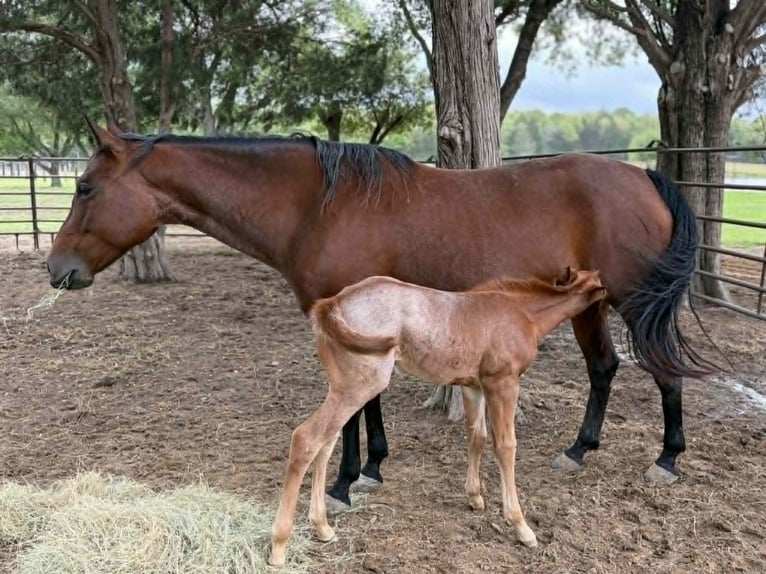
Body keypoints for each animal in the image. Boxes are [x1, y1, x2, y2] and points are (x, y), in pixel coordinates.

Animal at [47, 121, 715, 509]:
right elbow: (367, 407)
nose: (57, 268)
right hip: (588, 303)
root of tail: (647, 177)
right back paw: (579, 451)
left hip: (635, 302)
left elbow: (352, 410)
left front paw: (344, 484)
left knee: (663, 372)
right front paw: (372, 469)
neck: (317, 205)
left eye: (84, 187)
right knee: (604, 369)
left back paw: (666, 460)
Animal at [268, 268, 607, 566]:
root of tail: (332, 304)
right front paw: (521, 527)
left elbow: (477, 436)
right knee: (306, 438)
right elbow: (506, 446)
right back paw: (280, 546)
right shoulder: (502, 382)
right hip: (361, 385)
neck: (522, 312)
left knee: (325, 442)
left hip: (342, 387)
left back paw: (322, 527)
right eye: (604, 293)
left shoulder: (473, 386)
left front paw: (475, 497)